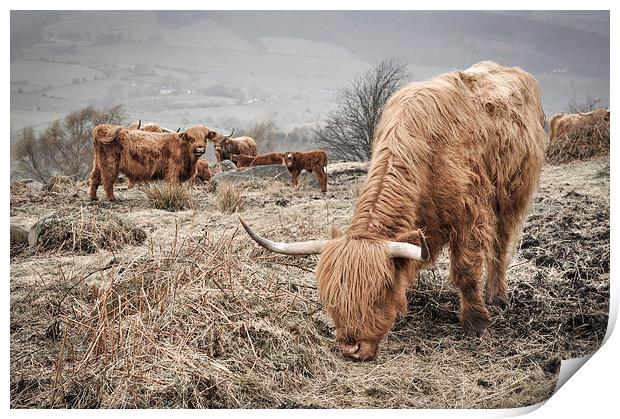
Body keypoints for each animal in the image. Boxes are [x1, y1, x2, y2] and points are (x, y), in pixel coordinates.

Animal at [89, 124, 218, 201]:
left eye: (205, 138)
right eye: (191, 139)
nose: (199, 149)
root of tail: (103, 127)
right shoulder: (173, 172)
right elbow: (174, 186)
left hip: (98, 162)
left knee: (95, 177)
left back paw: (93, 197)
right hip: (110, 163)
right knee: (108, 180)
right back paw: (112, 198)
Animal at [240, 61, 544, 360]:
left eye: (378, 294)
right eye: (331, 298)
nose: (352, 349)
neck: (425, 156)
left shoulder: (469, 215)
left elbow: (466, 271)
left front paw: (476, 324)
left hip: (511, 194)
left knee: (500, 245)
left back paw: (497, 296)